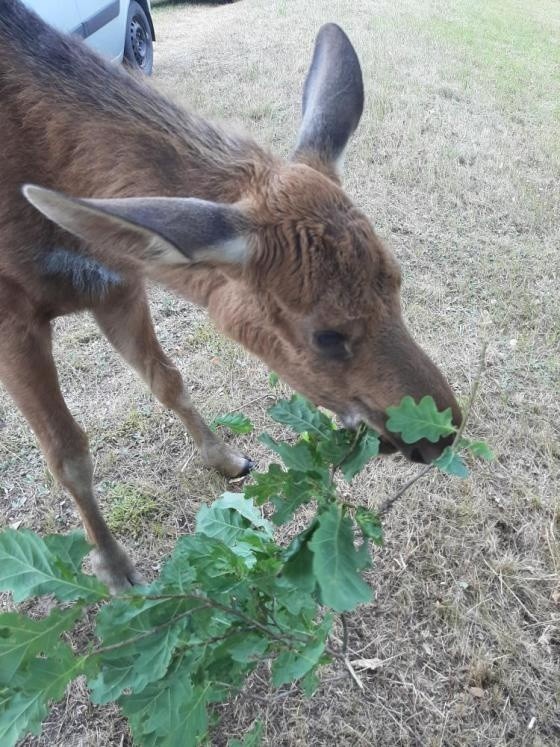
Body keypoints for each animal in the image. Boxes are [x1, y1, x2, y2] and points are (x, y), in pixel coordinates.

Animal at [0, 2, 460, 592]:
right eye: (326, 334)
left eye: (399, 281)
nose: (444, 431)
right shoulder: (12, 315)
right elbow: (67, 452)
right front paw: (116, 569)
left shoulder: (119, 283)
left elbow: (168, 380)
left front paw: (226, 457)